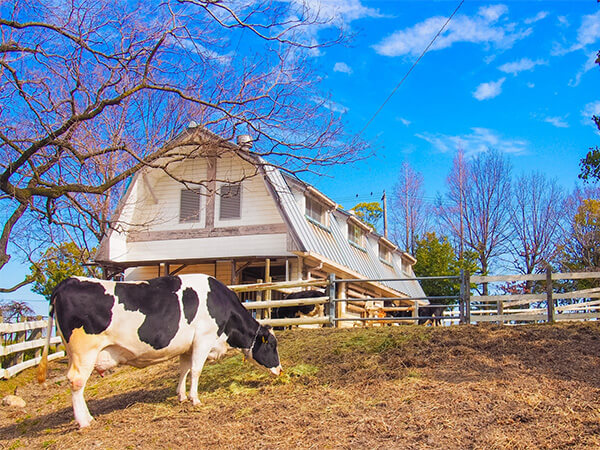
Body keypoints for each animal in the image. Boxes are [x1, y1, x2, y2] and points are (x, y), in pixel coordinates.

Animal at [37, 274, 282, 428]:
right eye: (271, 345)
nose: (280, 370)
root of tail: (68, 281)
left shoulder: (187, 346)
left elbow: (183, 370)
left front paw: (181, 396)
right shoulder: (202, 340)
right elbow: (196, 371)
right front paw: (194, 399)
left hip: (74, 354)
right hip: (84, 352)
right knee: (76, 382)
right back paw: (84, 421)